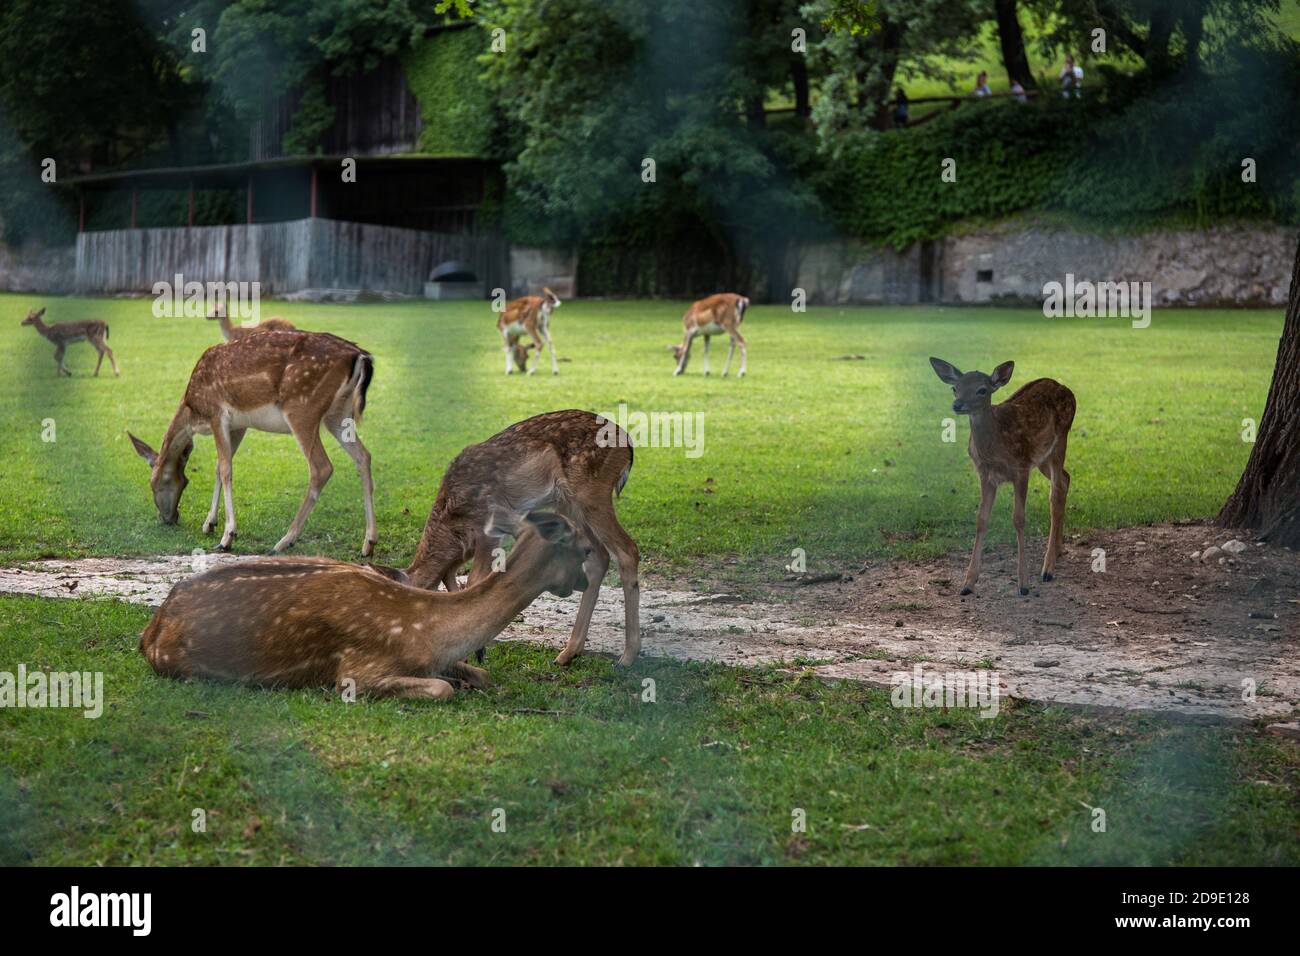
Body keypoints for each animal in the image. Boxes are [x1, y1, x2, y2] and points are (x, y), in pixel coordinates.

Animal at [128, 332, 377, 561]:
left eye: (155, 482)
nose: (168, 518)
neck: (193, 411)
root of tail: (360, 355)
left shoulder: (217, 413)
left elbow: (226, 469)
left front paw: (227, 536)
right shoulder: (239, 424)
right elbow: (219, 466)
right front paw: (209, 523)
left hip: (302, 407)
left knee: (322, 467)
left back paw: (283, 541)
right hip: (339, 414)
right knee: (363, 456)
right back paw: (368, 543)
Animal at [141, 509, 590, 702]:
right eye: (583, 546)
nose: (586, 579)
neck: (433, 632)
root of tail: (152, 629)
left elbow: (481, 672)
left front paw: (469, 678)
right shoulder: (358, 671)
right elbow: (442, 689)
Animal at [371, 408, 639, 665]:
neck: (454, 527)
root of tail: (628, 445)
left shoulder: (492, 524)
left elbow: (475, 580)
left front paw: (473, 655)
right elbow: (455, 582)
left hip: (590, 493)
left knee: (627, 551)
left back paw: (627, 657)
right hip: (567, 502)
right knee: (600, 555)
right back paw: (568, 654)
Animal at [930, 361, 1081, 598]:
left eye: (982, 390)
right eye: (955, 388)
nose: (957, 404)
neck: (994, 448)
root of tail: (1064, 387)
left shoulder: (1021, 468)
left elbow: (1018, 519)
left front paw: (1023, 584)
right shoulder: (985, 475)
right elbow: (981, 519)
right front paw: (968, 583)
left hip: (1060, 441)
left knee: (1055, 493)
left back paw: (1048, 568)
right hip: (1042, 457)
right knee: (1065, 479)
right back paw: (1058, 549)